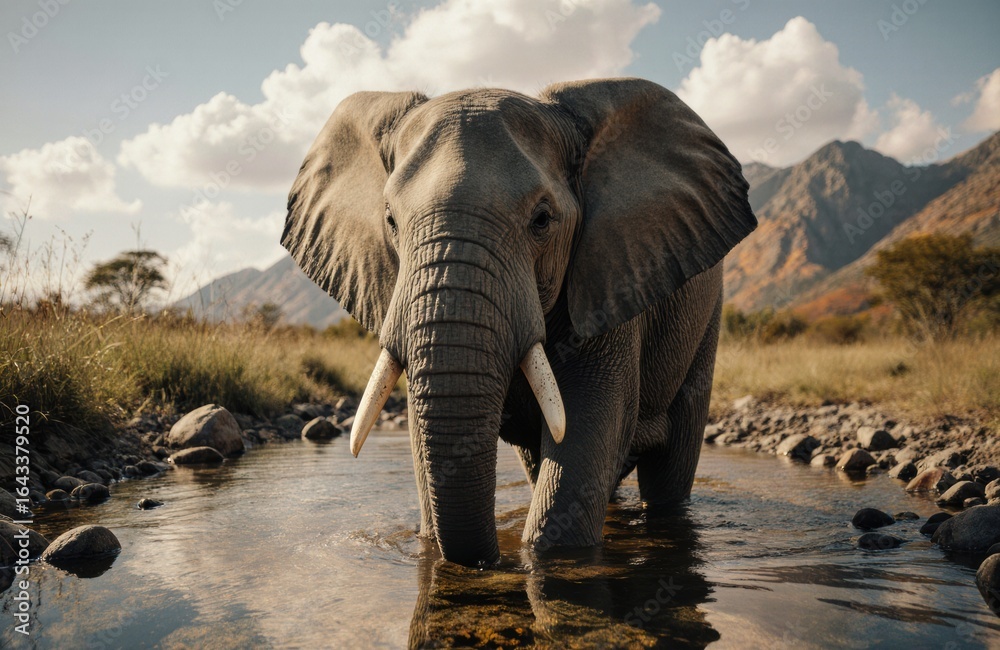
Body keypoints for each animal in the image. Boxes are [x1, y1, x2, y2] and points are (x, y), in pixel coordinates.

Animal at [282, 77, 756, 567]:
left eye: (542, 220)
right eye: (391, 220)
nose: (490, 562)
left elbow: (587, 421)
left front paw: (541, 556)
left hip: (707, 317)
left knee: (670, 467)